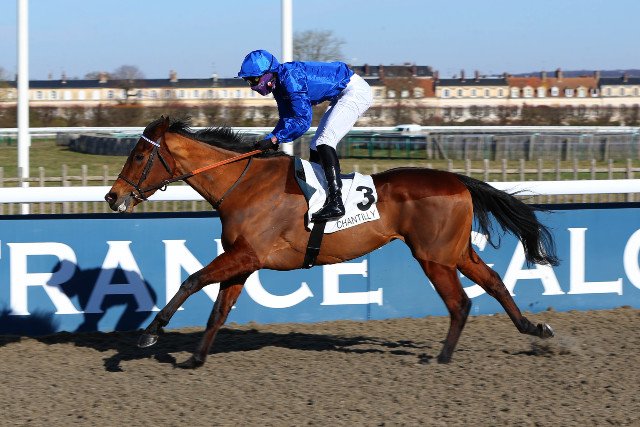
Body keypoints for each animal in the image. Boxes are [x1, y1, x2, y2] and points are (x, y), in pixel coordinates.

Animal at [105, 116, 559, 368]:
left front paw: (148, 335)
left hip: (433, 256)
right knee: (495, 283)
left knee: (460, 302)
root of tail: (458, 181)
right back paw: (534, 328)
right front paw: (196, 358)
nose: (113, 197)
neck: (243, 183)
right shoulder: (244, 260)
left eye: (138, 156)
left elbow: (191, 281)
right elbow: (218, 309)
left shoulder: (246, 254)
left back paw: (444, 357)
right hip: (456, 251)